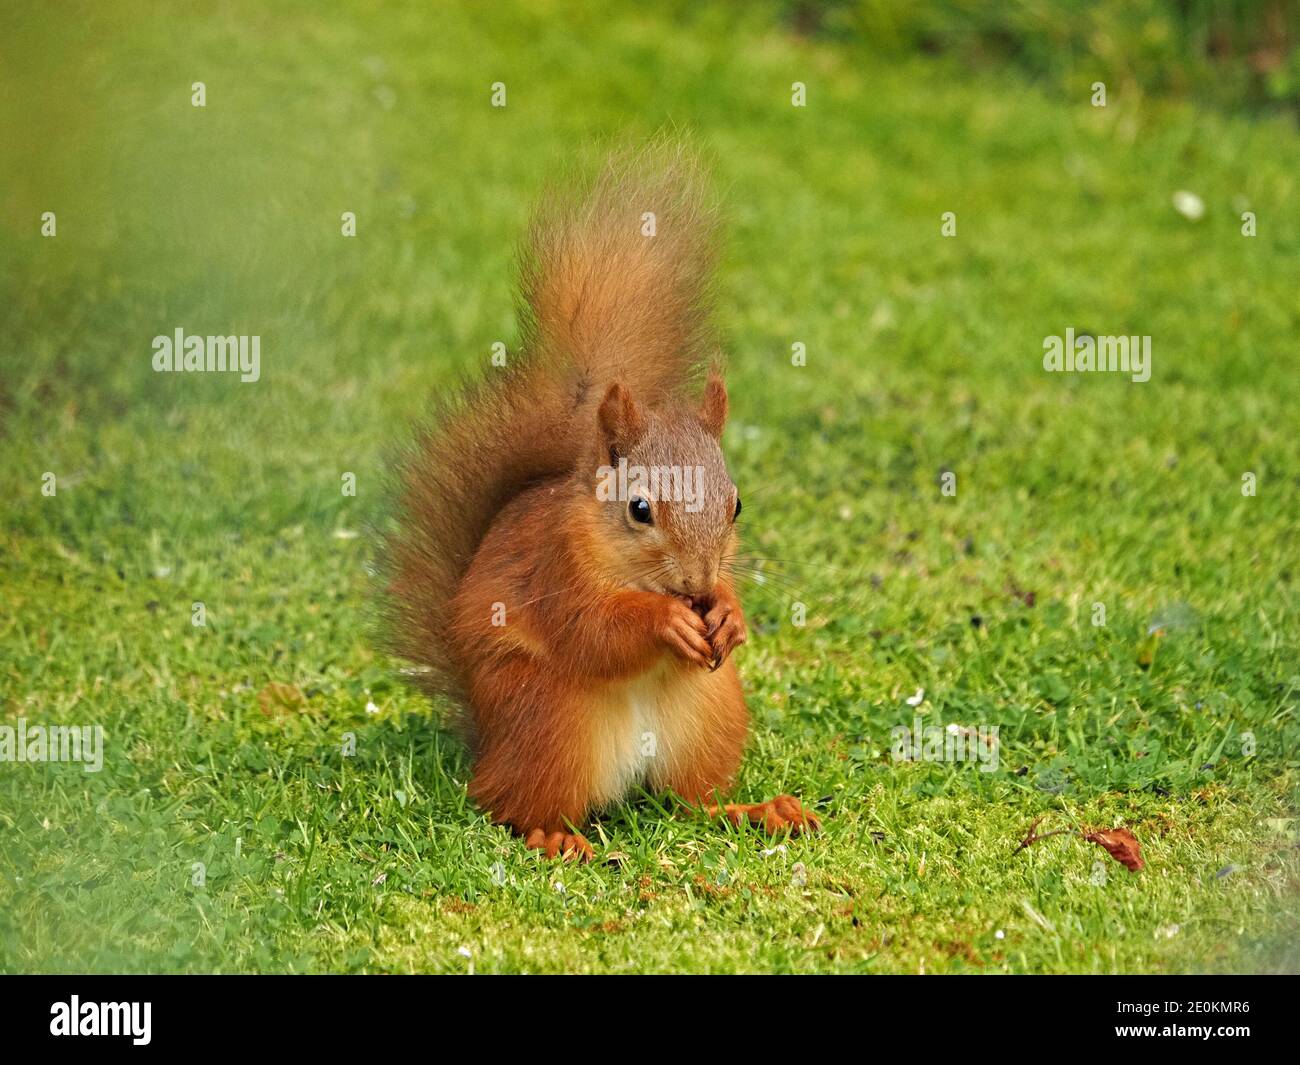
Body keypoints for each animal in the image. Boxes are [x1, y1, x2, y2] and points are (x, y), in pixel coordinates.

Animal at [384, 143, 820, 861]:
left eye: (736, 505)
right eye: (640, 509)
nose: (699, 585)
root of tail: (486, 746)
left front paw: (728, 613)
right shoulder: (555, 569)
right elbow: (593, 631)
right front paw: (663, 622)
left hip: (711, 712)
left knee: (691, 802)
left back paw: (758, 809)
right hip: (550, 719)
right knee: (507, 805)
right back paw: (552, 835)